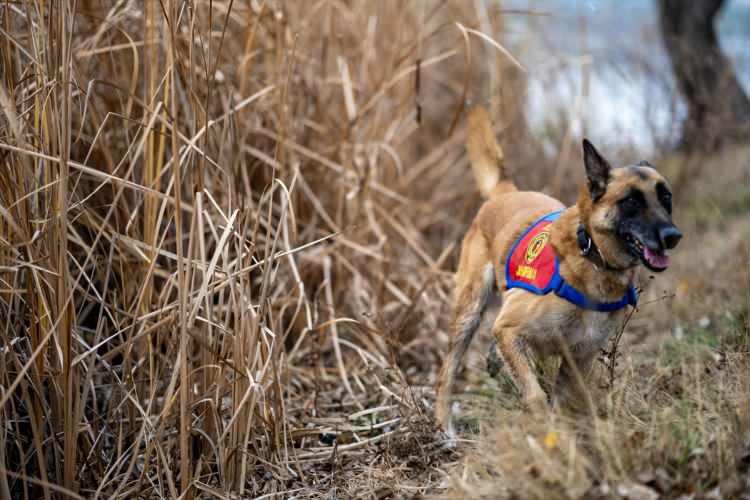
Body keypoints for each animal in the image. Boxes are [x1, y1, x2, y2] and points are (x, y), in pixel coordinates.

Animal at [438, 107, 684, 436]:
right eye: (631, 200)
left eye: (666, 197)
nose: (672, 236)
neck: (592, 257)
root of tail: (504, 192)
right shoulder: (510, 331)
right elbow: (535, 396)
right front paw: (546, 435)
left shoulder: (577, 358)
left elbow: (559, 402)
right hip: (469, 312)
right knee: (447, 371)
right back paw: (443, 427)